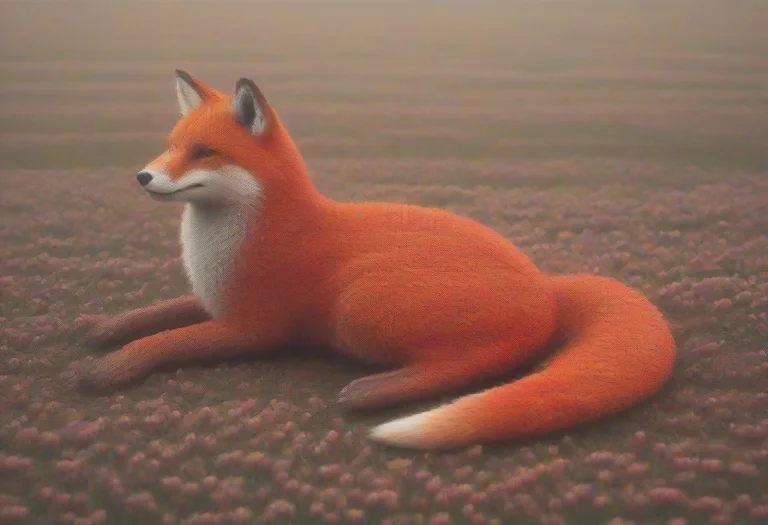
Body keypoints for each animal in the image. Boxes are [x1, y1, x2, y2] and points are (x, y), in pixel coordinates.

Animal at [75, 70, 677, 450]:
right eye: (171, 146)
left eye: (205, 153)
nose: (142, 176)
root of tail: (546, 285)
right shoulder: (215, 300)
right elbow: (157, 315)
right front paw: (106, 329)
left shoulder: (254, 328)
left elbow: (166, 342)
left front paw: (109, 368)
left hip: (357, 304)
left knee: (480, 365)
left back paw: (374, 393)